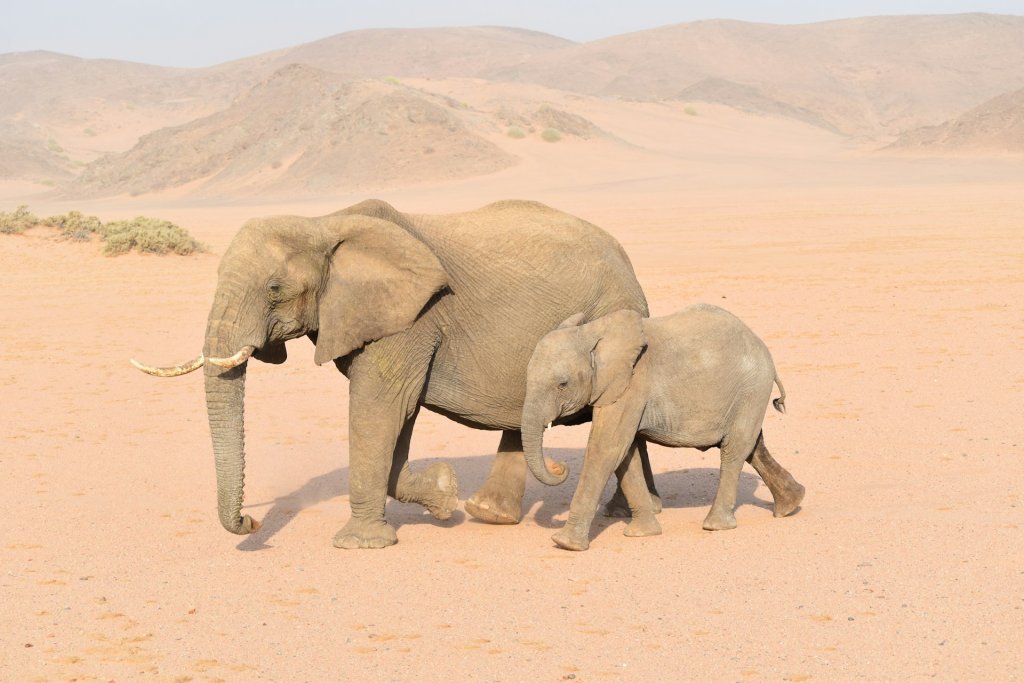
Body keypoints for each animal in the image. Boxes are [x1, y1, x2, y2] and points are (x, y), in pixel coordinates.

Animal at [131, 198, 655, 548]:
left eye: (274, 287)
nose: (252, 524)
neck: (324, 223)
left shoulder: (410, 318)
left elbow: (379, 407)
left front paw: (360, 544)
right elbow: (394, 419)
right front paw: (444, 495)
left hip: (613, 309)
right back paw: (490, 514)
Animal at [522, 304, 805, 551]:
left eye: (562, 384)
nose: (559, 467)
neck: (592, 332)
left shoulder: (632, 383)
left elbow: (607, 448)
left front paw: (565, 544)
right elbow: (626, 453)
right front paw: (643, 533)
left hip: (751, 388)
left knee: (734, 450)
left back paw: (715, 526)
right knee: (753, 447)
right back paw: (790, 505)